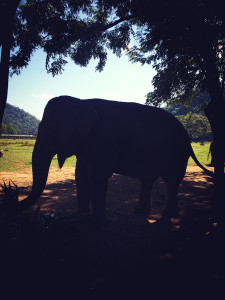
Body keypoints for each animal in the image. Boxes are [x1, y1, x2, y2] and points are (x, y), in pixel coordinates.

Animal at [18, 96, 213, 223]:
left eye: (56, 132)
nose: (18, 202)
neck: (82, 102)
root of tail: (187, 136)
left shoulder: (103, 140)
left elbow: (97, 175)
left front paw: (96, 222)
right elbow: (80, 174)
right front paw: (79, 215)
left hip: (176, 153)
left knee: (171, 181)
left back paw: (167, 215)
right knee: (148, 179)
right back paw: (141, 211)